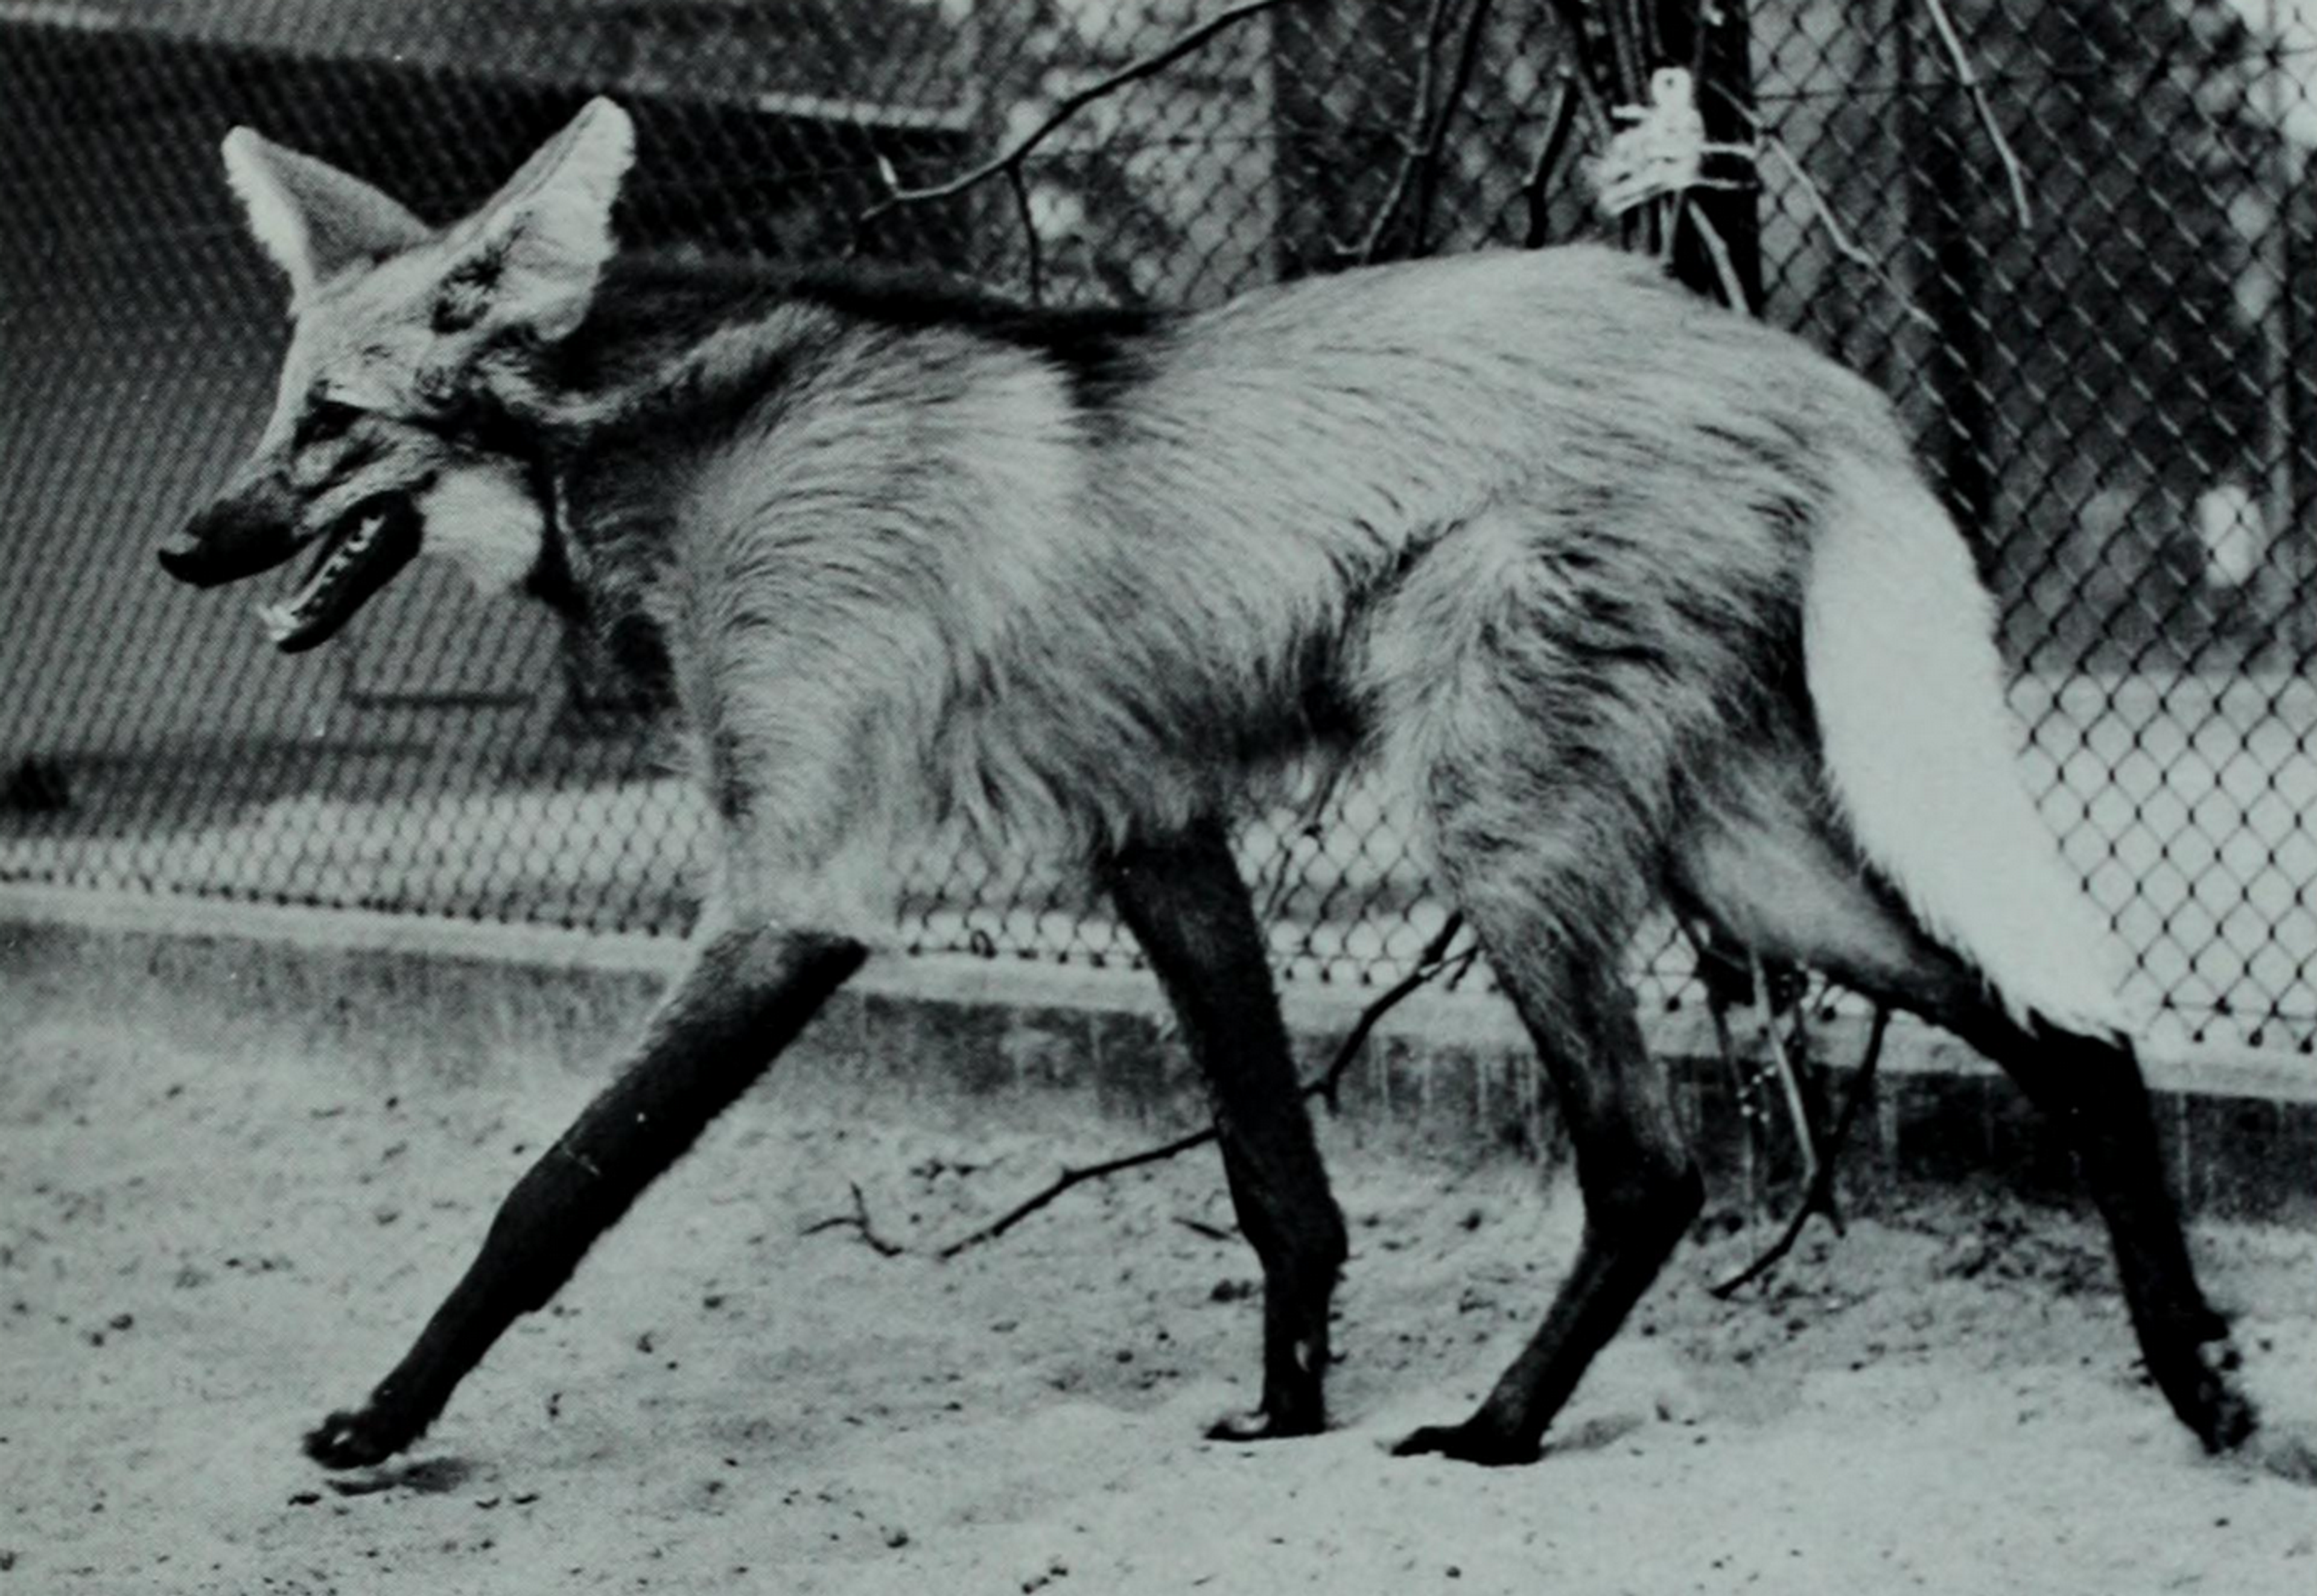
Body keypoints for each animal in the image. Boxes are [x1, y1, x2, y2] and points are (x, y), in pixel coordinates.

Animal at [161, 98, 2269, 1473]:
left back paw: (1500, 1427)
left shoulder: (801, 891)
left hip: (1498, 820)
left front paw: (380, 1415)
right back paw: (2193, 1377)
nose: (187, 543)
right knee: (2072, 1033)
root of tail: (1779, 356)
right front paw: (1283, 1400)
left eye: (329, 425)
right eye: (275, 415)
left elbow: (550, 1189)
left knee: (1649, 1152)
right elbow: (1277, 1177)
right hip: (1732, 849)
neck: (677, 459)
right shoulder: (1155, 834)